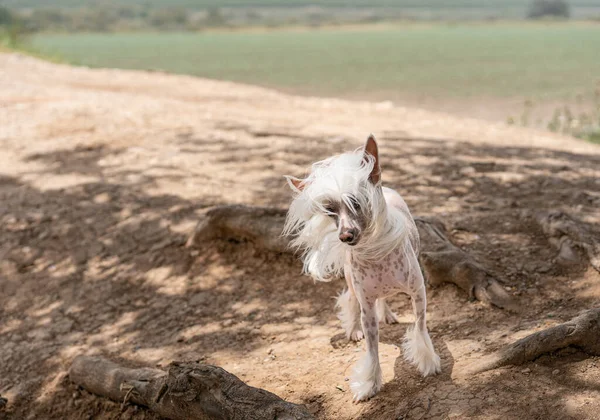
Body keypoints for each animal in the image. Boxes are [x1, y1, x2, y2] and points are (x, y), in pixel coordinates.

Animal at [282, 136, 440, 402]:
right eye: (330, 210)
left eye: (355, 202)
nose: (345, 236)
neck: (374, 254)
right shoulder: (366, 305)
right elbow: (372, 348)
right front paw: (369, 385)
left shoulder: (419, 293)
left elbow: (420, 327)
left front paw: (427, 362)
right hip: (353, 284)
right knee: (351, 301)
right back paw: (355, 329)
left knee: (384, 298)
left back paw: (387, 313)